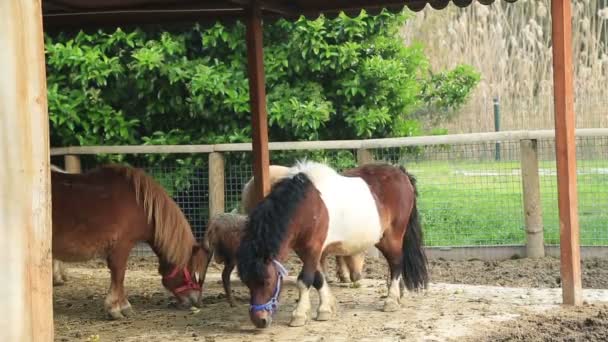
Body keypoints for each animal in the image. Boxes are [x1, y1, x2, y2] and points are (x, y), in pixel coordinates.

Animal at [51, 164, 207, 320]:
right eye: (193, 273)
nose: (197, 301)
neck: (141, 206)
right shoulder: (122, 246)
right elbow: (119, 274)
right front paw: (118, 307)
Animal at [233, 162, 428, 330]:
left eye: (267, 281)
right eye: (246, 282)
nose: (260, 320)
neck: (306, 207)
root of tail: (401, 173)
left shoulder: (313, 248)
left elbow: (304, 280)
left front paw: (299, 315)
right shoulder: (306, 251)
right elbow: (318, 278)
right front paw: (326, 309)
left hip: (391, 236)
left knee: (396, 263)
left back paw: (391, 300)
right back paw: (398, 295)